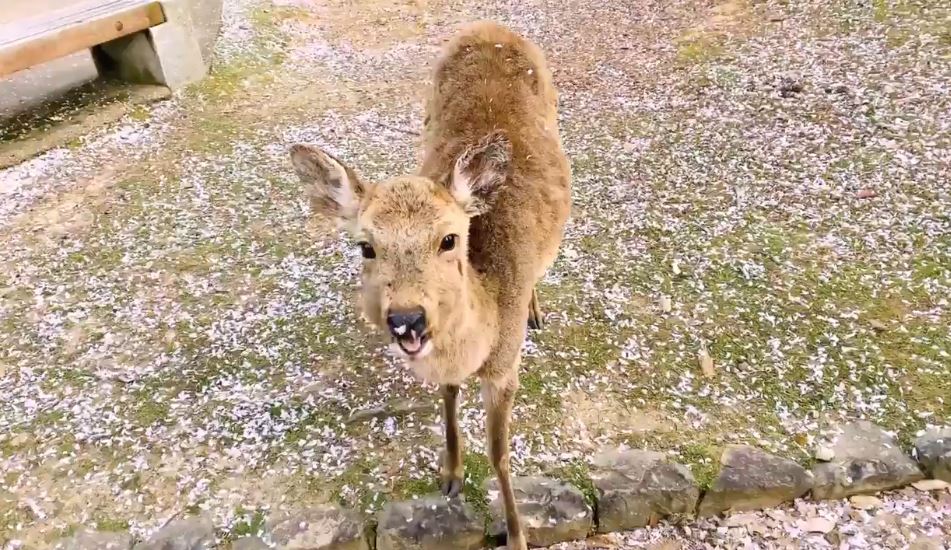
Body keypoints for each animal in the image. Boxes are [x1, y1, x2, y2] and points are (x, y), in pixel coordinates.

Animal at [288, 21, 570, 550]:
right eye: (365, 247)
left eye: (450, 239)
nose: (407, 319)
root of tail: (492, 26)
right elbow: (448, 400)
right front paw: (451, 475)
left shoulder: (506, 368)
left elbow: (501, 453)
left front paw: (517, 535)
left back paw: (536, 310)